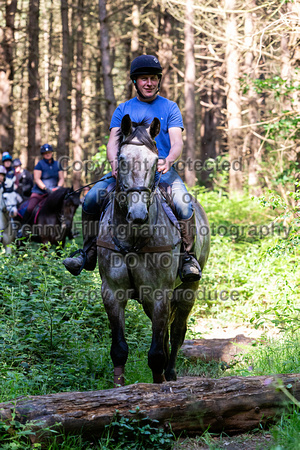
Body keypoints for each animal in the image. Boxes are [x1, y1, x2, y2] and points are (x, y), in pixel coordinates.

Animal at [97, 114, 210, 384]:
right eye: (122, 160)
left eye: (154, 162)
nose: (138, 214)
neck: (133, 239)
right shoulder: (112, 292)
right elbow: (119, 349)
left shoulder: (160, 293)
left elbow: (157, 352)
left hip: (188, 289)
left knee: (177, 332)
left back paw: (170, 373)